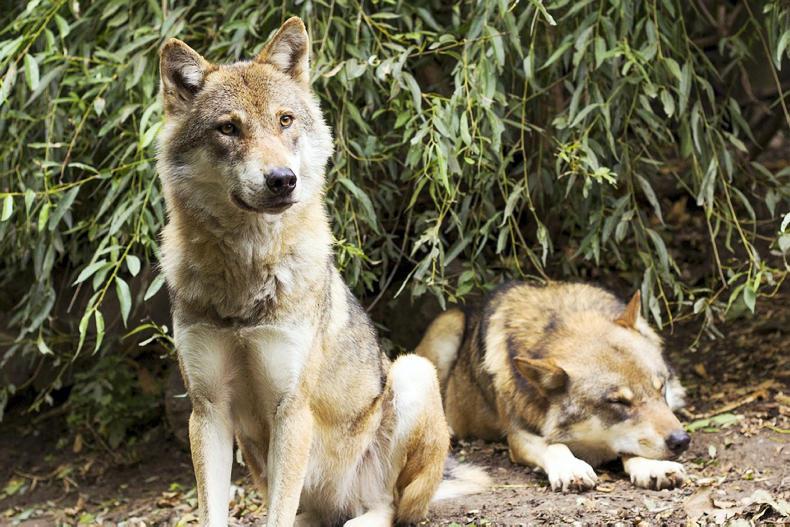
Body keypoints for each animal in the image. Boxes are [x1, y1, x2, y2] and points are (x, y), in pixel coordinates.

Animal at [156, 17, 487, 527]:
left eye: (285, 120)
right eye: (228, 128)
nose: (282, 179)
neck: (247, 276)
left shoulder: (291, 410)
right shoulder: (208, 412)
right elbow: (217, 511)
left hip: (413, 373)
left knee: (389, 507)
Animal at [416, 281, 690, 492]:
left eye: (660, 388)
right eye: (619, 402)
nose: (682, 440)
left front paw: (654, 466)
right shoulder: (518, 435)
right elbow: (553, 445)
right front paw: (571, 468)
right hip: (447, 327)